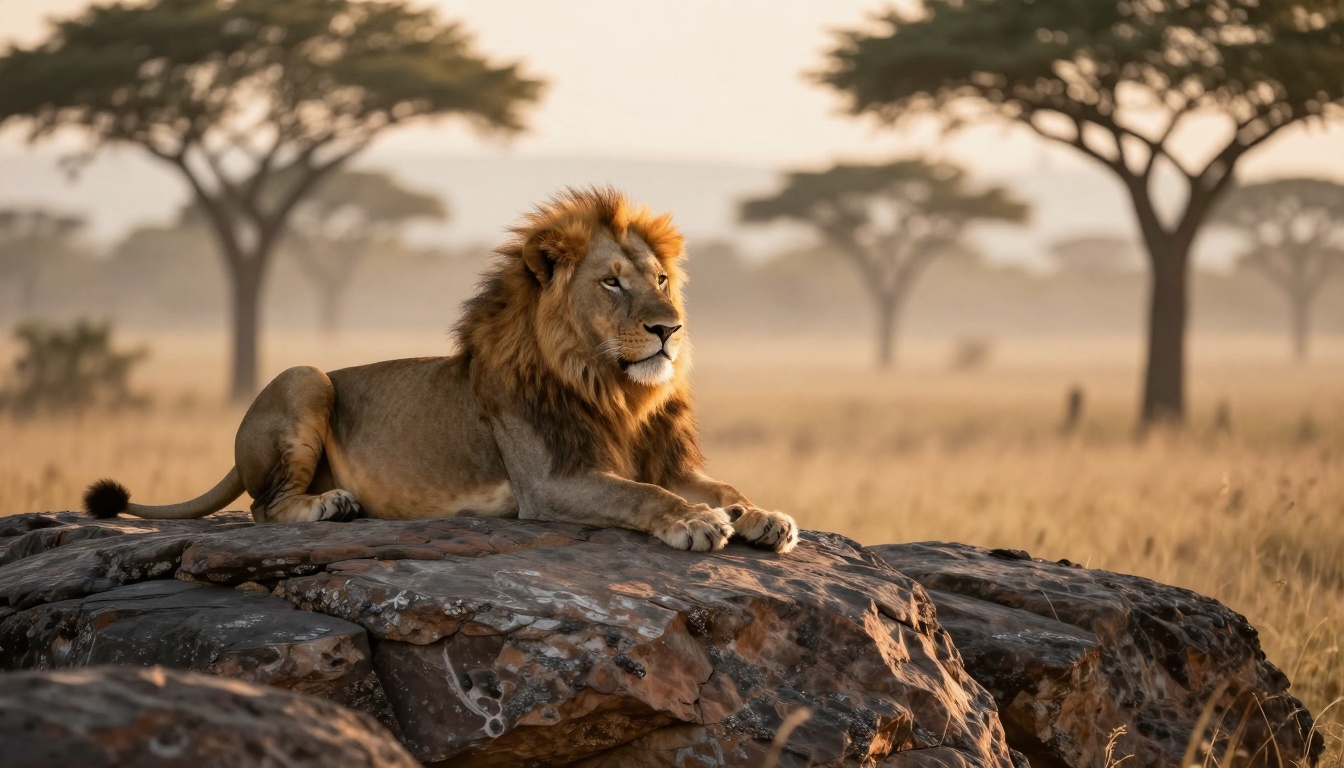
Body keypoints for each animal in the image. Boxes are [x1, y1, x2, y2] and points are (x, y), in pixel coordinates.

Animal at [83, 187, 798, 554]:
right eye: (612, 284)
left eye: (660, 280)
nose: (668, 329)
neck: (615, 389)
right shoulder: (549, 483)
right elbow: (641, 495)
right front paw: (697, 522)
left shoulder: (661, 456)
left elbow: (721, 485)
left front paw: (761, 516)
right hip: (304, 376)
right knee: (264, 508)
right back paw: (330, 506)